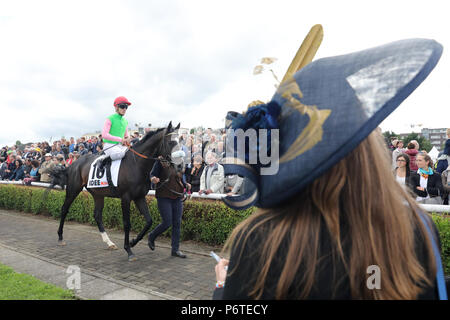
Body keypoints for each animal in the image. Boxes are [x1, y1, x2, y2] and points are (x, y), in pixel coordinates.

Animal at [57, 122, 180, 260]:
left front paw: (133, 242)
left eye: (179, 140)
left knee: (97, 215)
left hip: (98, 194)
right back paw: (60, 237)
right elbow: (127, 223)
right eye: (171, 142)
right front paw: (128, 250)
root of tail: (73, 164)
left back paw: (109, 242)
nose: (180, 164)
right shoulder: (126, 198)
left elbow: (149, 221)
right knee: (64, 209)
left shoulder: (139, 197)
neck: (136, 164)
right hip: (73, 189)